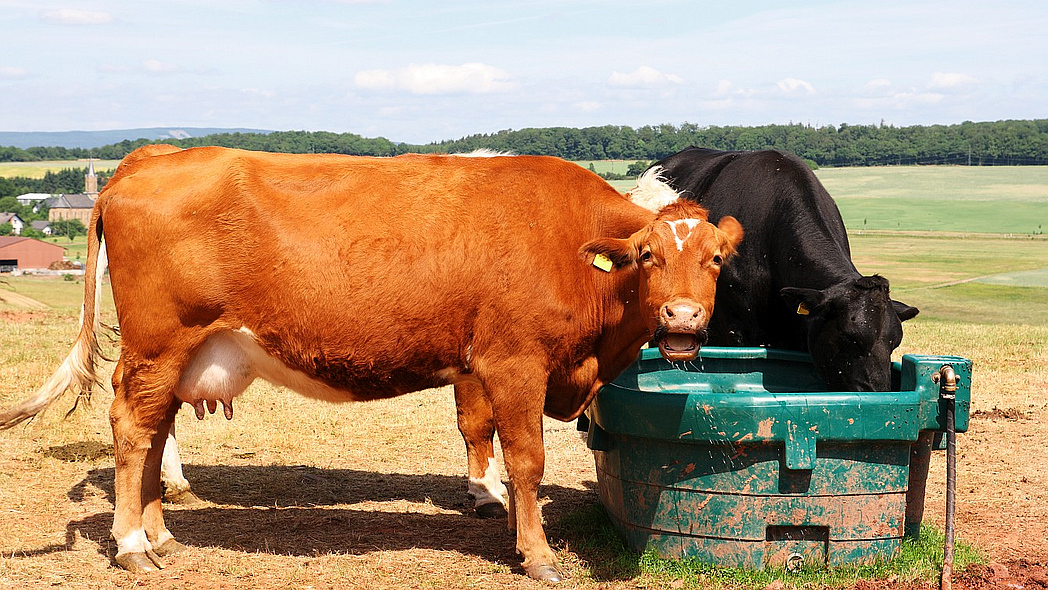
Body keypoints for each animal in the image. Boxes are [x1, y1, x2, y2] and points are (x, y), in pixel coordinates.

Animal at [0, 146, 742, 583]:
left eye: (716, 259)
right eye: (647, 255)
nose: (682, 320)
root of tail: (150, 160)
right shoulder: (513, 362)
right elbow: (525, 460)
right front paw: (534, 552)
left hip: (178, 355)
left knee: (153, 434)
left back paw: (162, 537)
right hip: (158, 345)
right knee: (132, 430)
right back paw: (131, 545)